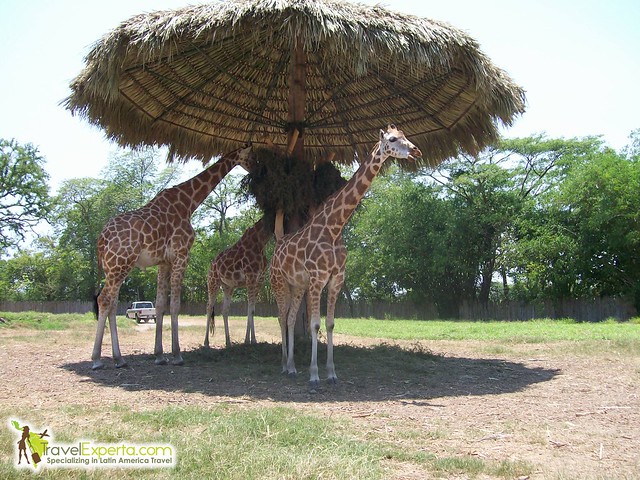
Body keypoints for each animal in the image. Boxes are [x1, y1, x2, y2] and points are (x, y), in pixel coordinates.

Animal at [90, 144, 255, 370]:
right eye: (253, 156)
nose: (258, 170)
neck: (188, 203)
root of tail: (101, 240)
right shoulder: (181, 255)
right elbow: (175, 305)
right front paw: (177, 355)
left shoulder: (164, 262)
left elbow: (160, 305)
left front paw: (160, 355)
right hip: (120, 264)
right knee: (104, 300)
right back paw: (97, 359)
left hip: (113, 267)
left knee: (113, 304)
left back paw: (119, 359)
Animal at [205, 216, 272, 346]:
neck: (260, 242)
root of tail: (211, 265)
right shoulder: (251, 278)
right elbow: (250, 310)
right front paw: (251, 340)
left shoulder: (259, 281)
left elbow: (252, 310)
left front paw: (249, 340)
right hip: (213, 282)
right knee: (209, 308)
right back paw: (206, 342)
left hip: (228, 287)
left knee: (224, 310)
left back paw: (228, 342)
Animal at [268, 126, 422, 386]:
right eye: (392, 139)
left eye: (406, 136)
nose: (415, 151)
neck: (334, 228)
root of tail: (278, 244)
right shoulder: (318, 278)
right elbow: (314, 324)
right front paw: (314, 375)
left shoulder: (336, 279)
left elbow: (329, 324)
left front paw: (331, 373)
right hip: (279, 283)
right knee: (280, 317)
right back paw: (282, 366)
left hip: (297, 285)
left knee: (289, 318)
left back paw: (291, 367)